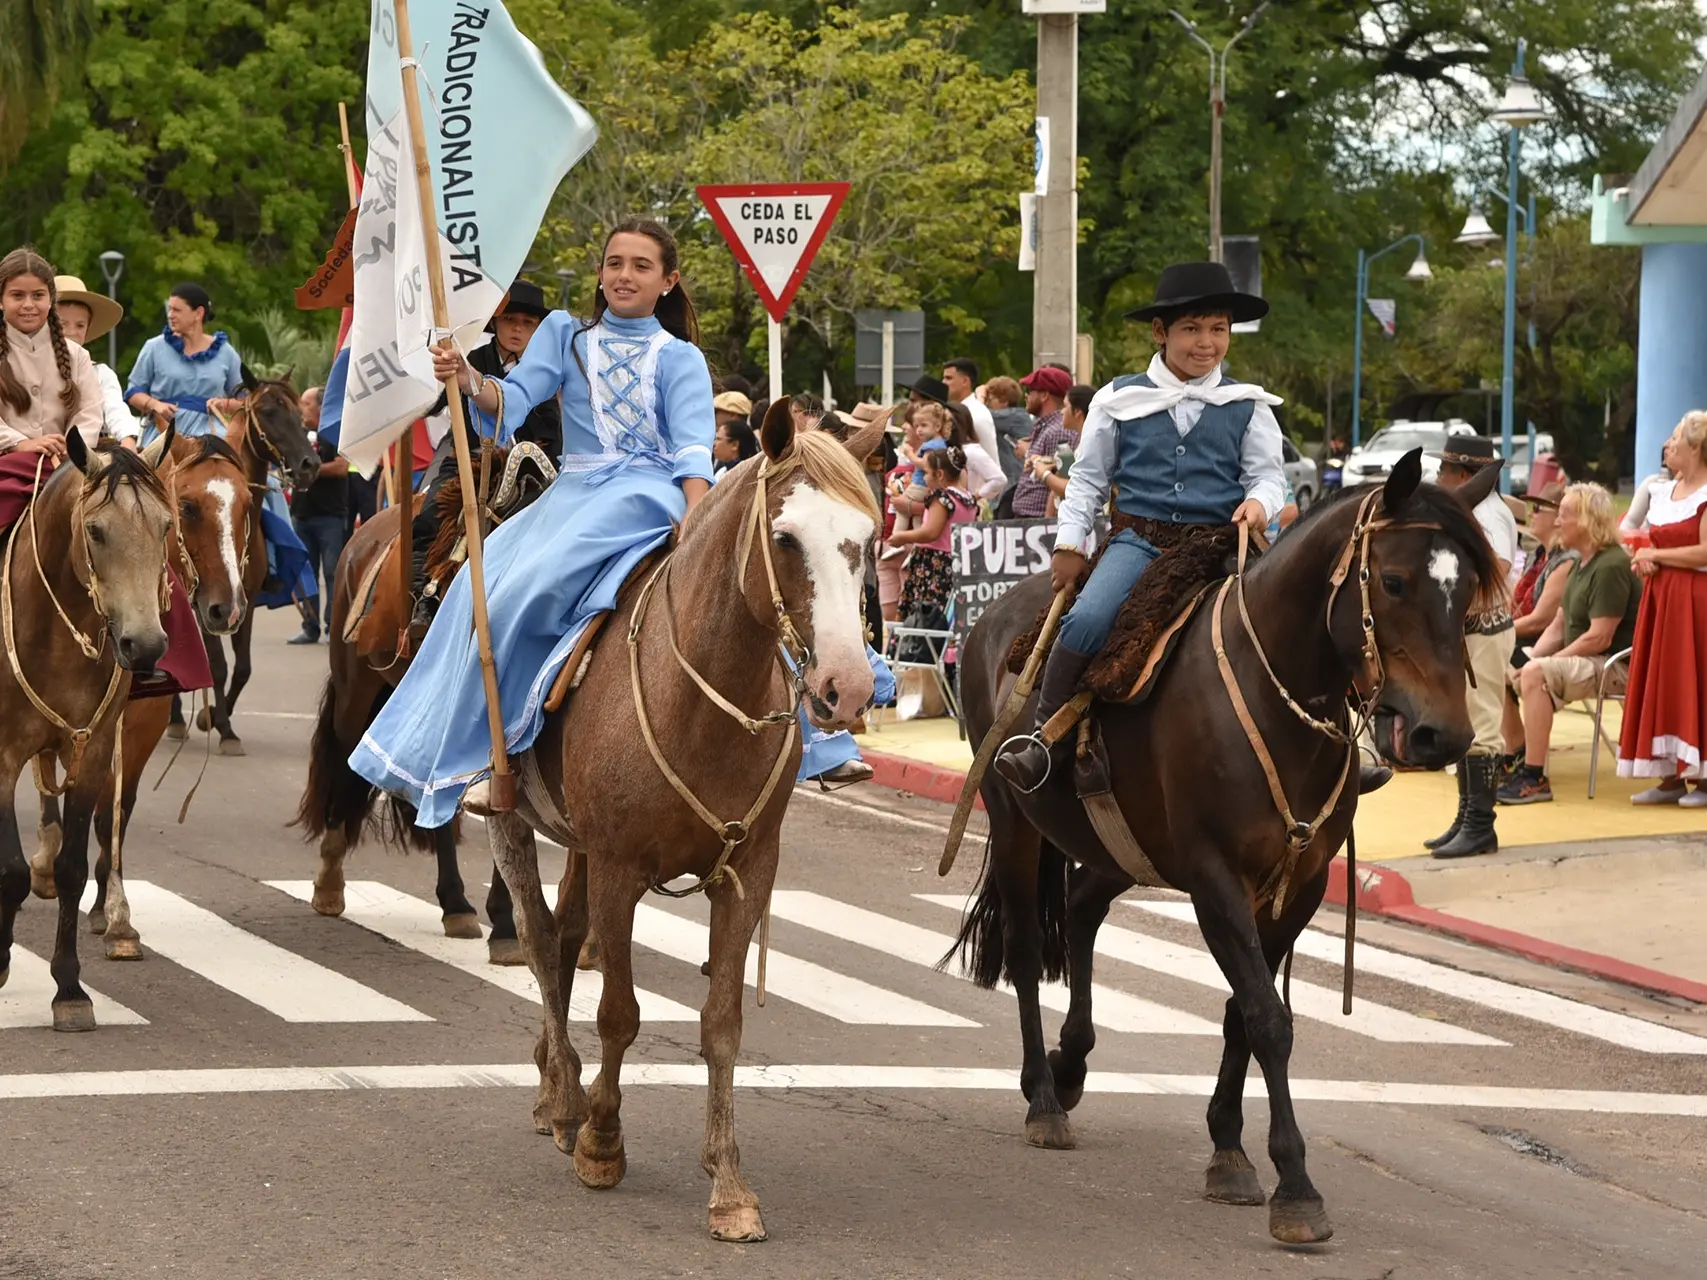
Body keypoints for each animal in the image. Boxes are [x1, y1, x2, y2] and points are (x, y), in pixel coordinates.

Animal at [0, 433, 176, 1030]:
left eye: (166, 526)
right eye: (96, 531)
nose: (145, 646)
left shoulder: (93, 752)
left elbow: (73, 869)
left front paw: (69, 988)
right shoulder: (2, 755)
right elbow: (10, 870)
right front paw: (1, 962)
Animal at [30, 433, 256, 962]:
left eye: (247, 505)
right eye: (188, 507)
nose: (229, 609)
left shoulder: (144, 717)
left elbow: (118, 806)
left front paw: (112, 911)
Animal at [481, 407, 880, 1242]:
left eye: (867, 536)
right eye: (785, 537)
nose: (847, 686)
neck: (702, 698)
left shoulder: (747, 874)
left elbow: (720, 1024)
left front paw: (728, 1183)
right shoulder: (620, 868)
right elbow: (620, 1013)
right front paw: (602, 1141)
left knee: (562, 942)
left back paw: (555, 1084)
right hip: (511, 818)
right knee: (537, 938)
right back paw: (564, 1099)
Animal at [955, 457, 1502, 1249]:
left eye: (1465, 593)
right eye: (1395, 582)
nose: (1445, 735)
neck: (1277, 695)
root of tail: (998, 614)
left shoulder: (1298, 886)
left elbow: (1244, 1012)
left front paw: (1227, 1149)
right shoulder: (1216, 881)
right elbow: (1268, 1019)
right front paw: (1295, 1187)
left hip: (1122, 849)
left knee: (1082, 910)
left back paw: (1071, 1063)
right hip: (1015, 823)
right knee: (1029, 950)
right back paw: (1043, 1099)